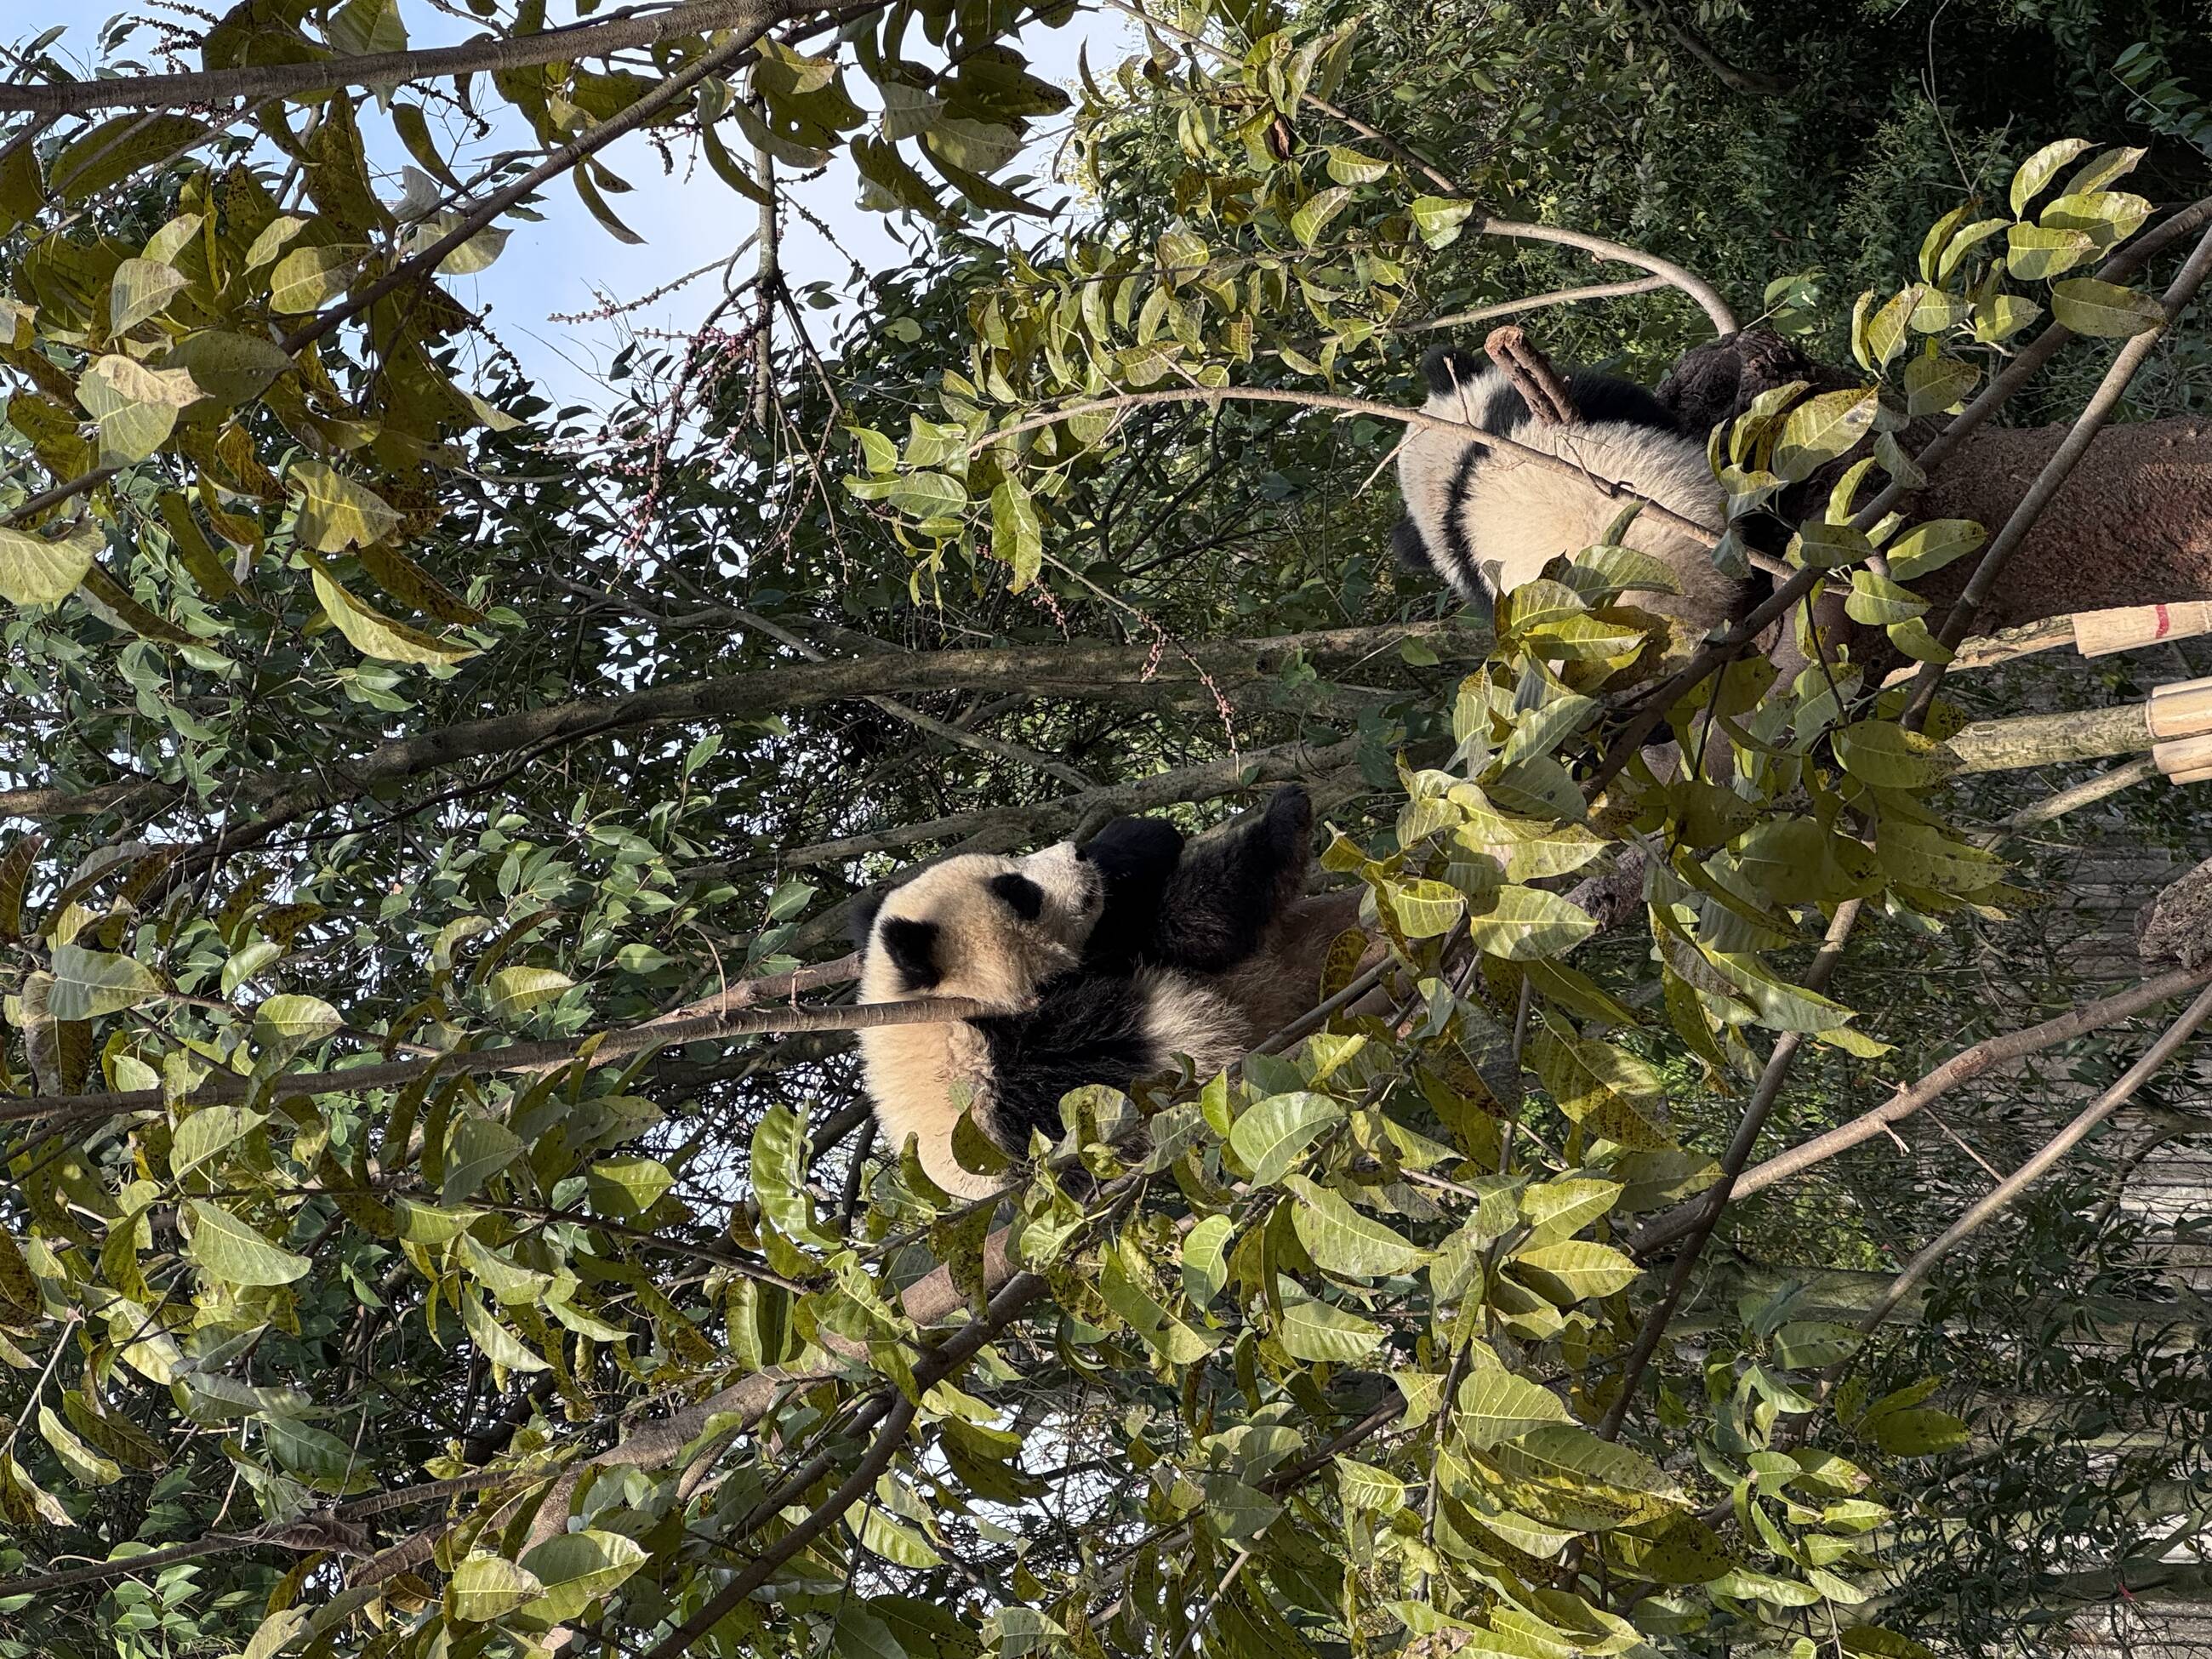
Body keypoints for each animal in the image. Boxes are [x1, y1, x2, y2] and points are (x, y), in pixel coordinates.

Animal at [849, 786, 1314, 1199]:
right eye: (1019, 891)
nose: (1076, 852)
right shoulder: (1053, 1059)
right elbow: (1183, 926)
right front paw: (1283, 818)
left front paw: (1135, 836)